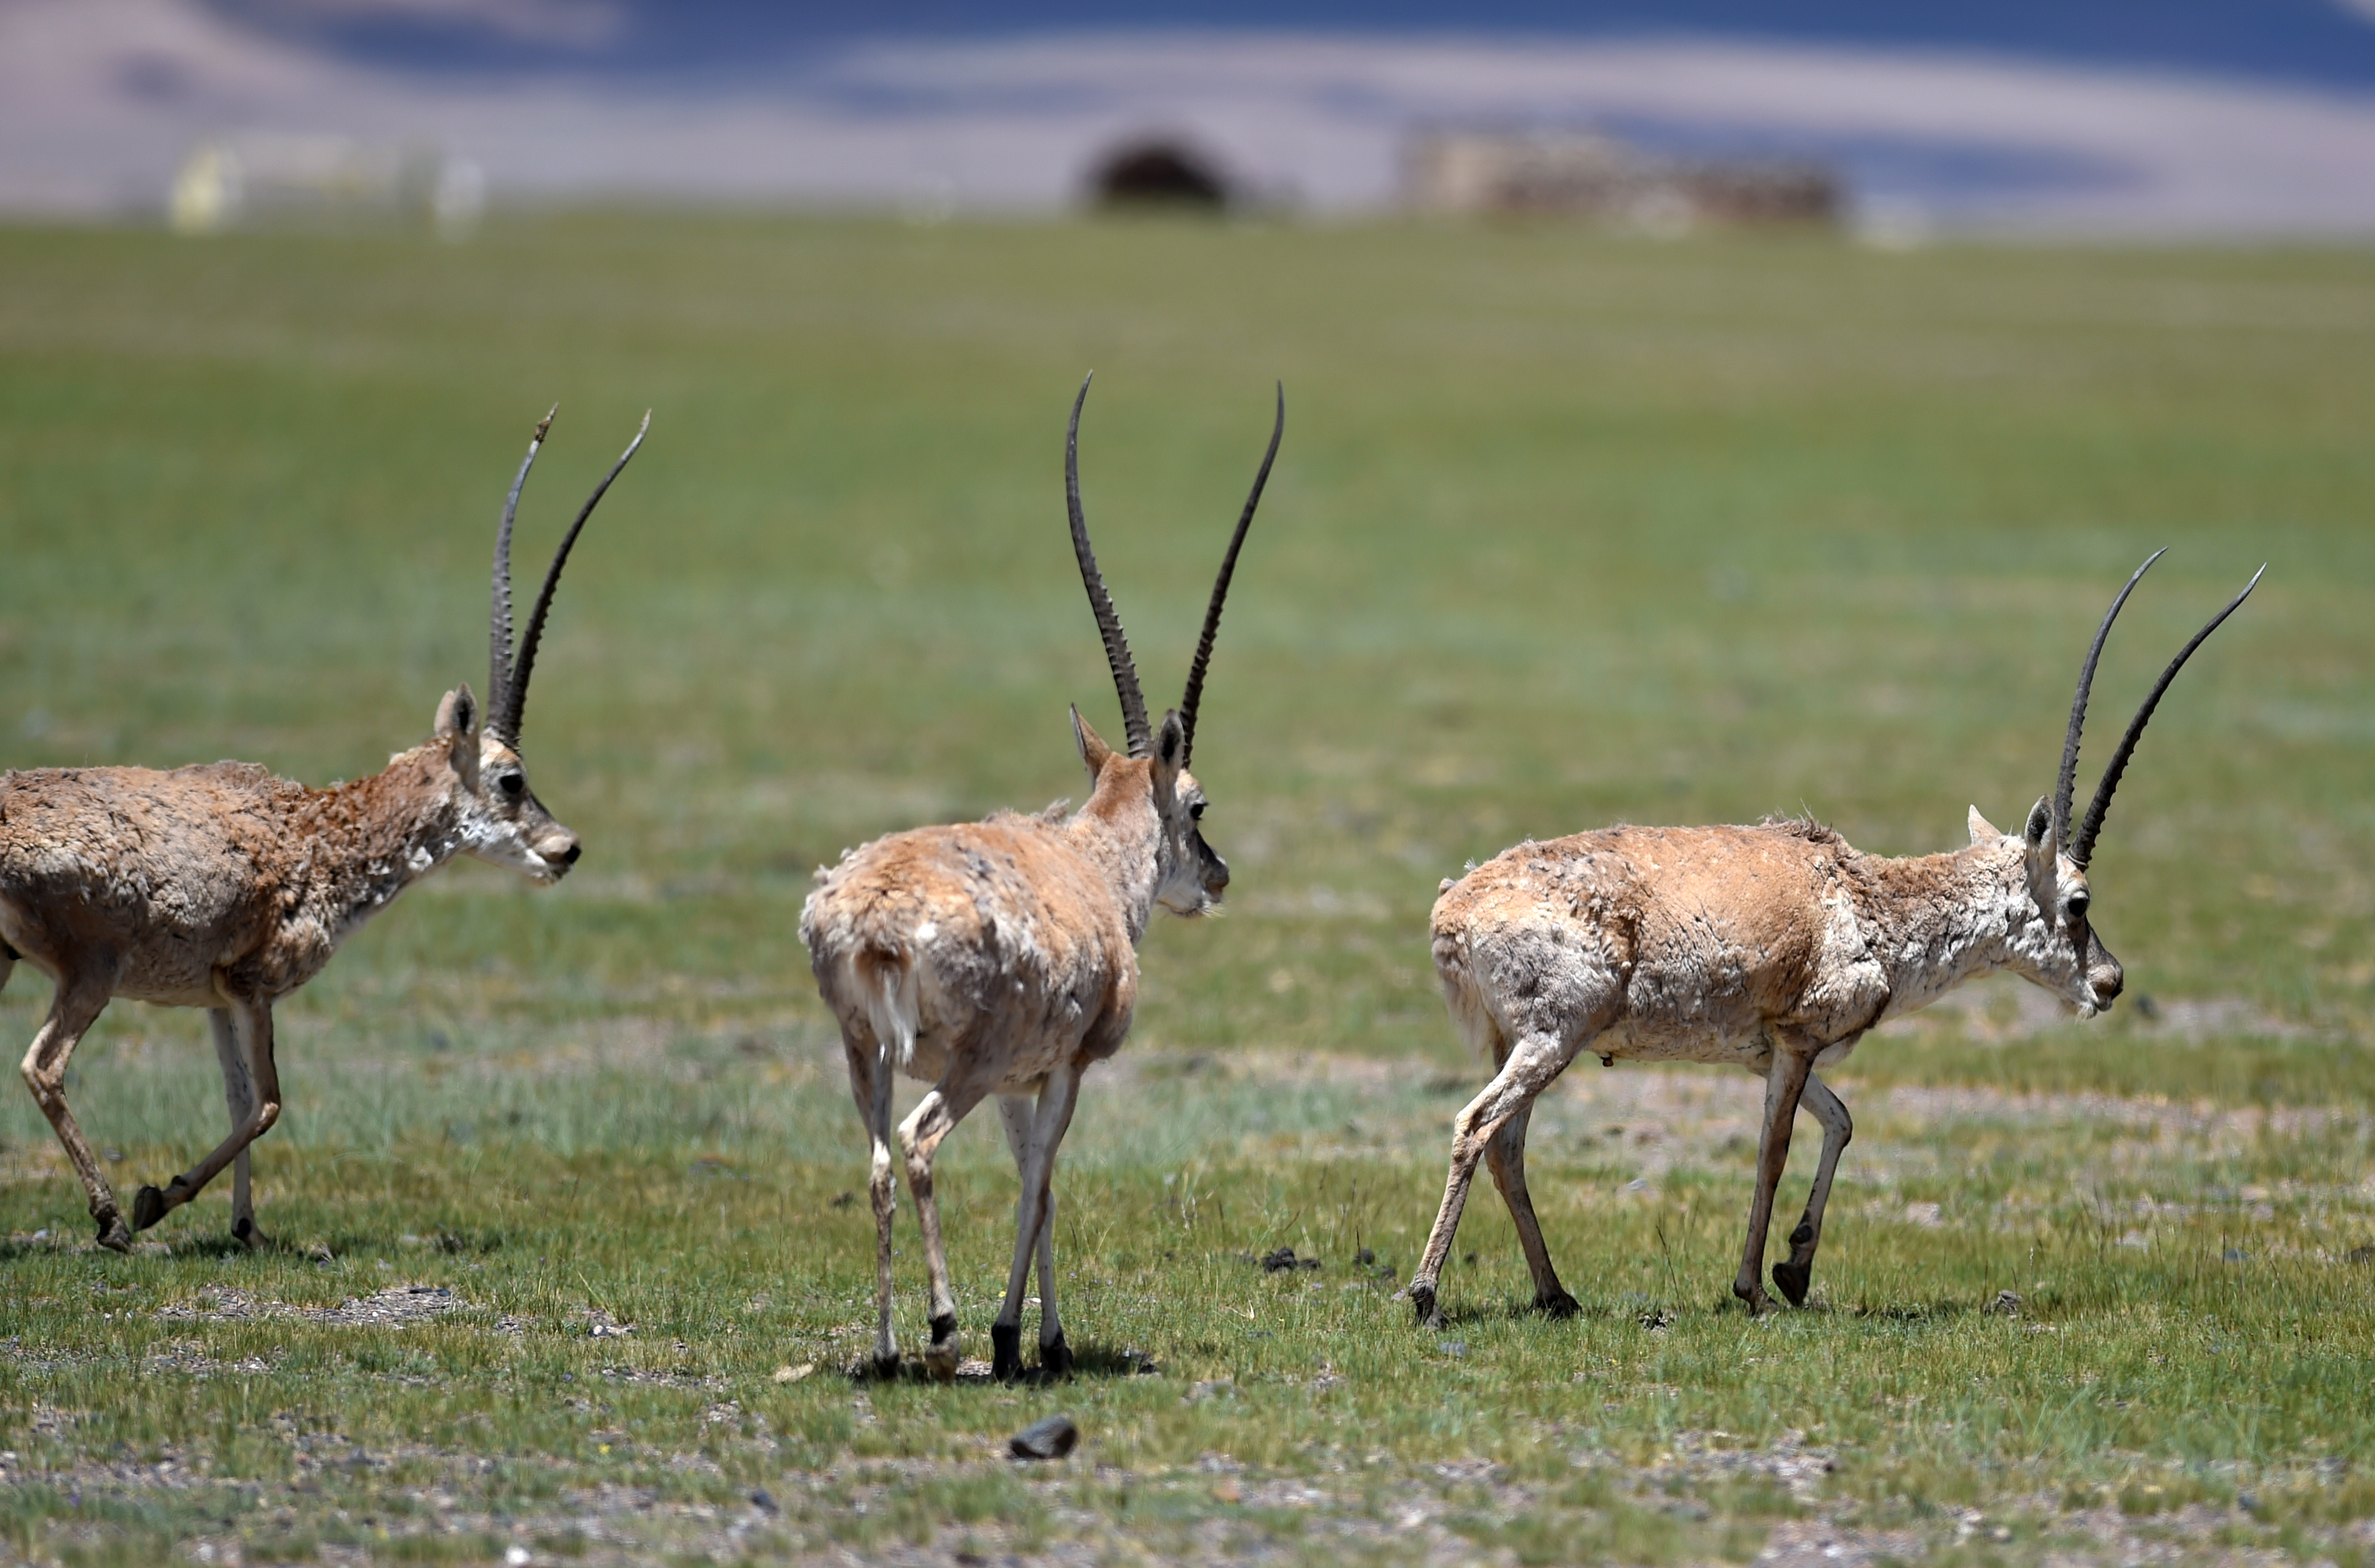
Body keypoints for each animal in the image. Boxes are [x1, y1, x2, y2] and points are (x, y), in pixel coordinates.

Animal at [4, 411, 646, 1254]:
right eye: (512, 779)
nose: (565, 848)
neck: (317, 828)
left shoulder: (216, 997)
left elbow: (238, 1097)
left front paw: (245, 1226)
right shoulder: (255, 985)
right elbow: (270, 1102)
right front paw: (158, 1198)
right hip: (91, 970)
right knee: (43, 1067)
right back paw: (112, 1219)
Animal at [798, 380, 1282, 1387]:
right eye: (1198, 802)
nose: (1217, 876)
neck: (1091, 865)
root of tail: (873, 919)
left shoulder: (1024, 1085)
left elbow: (1038, 1185)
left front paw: (1034, 1331)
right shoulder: (1061, 1069)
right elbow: (1044, 1183)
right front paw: (1025, 1336)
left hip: (864, 1052)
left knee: (876, 1160)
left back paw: (888, 1350)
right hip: (965, 1066)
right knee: (920, 1144)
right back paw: (945, 1331)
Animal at [1406, 551, 2261, 1321]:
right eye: (2078, 901)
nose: (2110, 982)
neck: (1863, 897)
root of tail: (1455, 911)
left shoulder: (1770, 1050)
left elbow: (1843, 1121)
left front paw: (1795, 1269)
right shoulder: (1795, 1039)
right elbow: (1774, 1149)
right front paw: (1756, 1287)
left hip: (1526, 1042)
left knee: (1508, 1147)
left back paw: (1556, 1294)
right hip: (1554, 1036)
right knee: (1477, 1127)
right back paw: (1425, 1294)